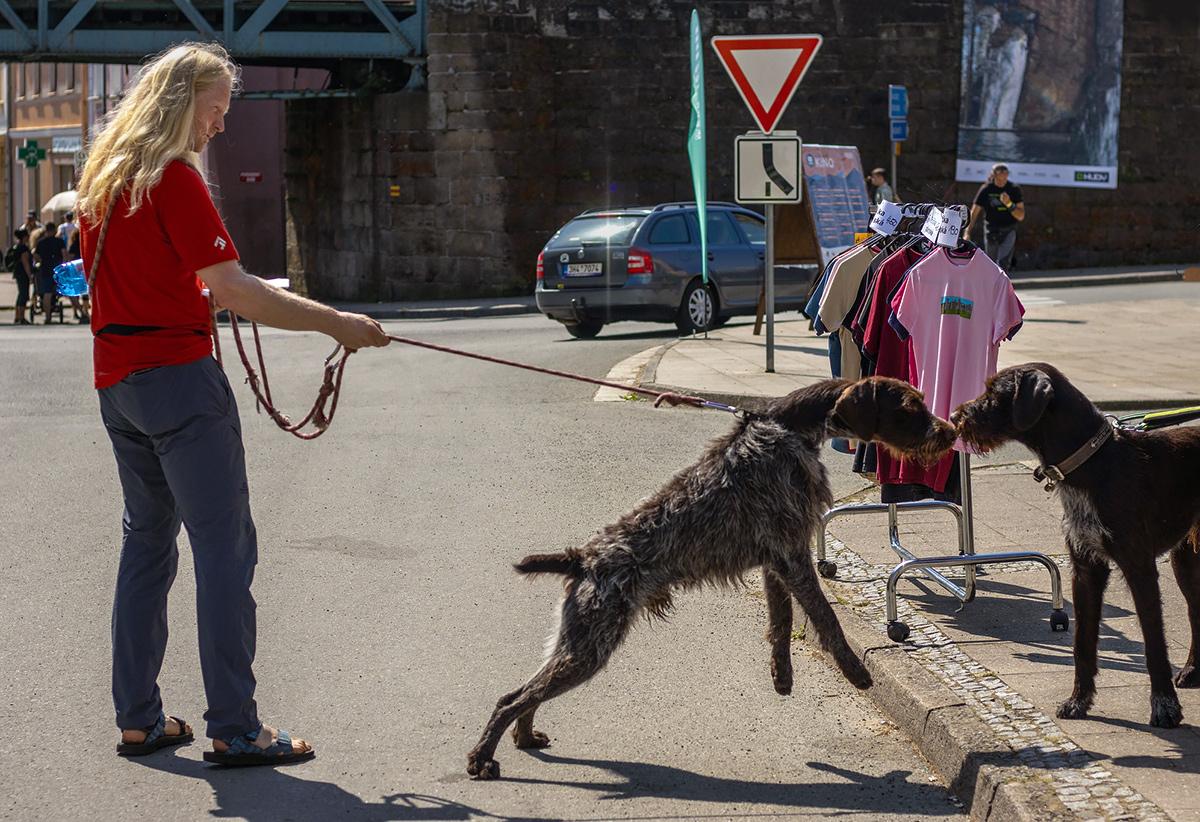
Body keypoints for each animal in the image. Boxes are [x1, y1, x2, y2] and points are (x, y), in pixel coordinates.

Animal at [468, 374, 955, 777]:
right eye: (910, 405)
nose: (949, 431)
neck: (792, 431)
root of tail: (583, 558)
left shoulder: (776, 559)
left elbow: (780, 622)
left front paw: (782, 677)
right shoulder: (792, 552)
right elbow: (825, 618)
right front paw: (855, 671)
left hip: (578, 639)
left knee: (524, 692)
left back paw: (524, 736)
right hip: (591, 644)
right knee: (513, 697)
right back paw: (481, 758)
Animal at [955, 362, 1200, 729]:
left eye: (993, 392)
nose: (956, 415)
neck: (1092, 464)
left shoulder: (1139, 568)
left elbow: (1154, 644)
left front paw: (1165, 706)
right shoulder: (1085, 568)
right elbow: (1082, 643)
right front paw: (1078, 702)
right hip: (1184, 558)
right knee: (1196, 611)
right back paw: (1192, 669)